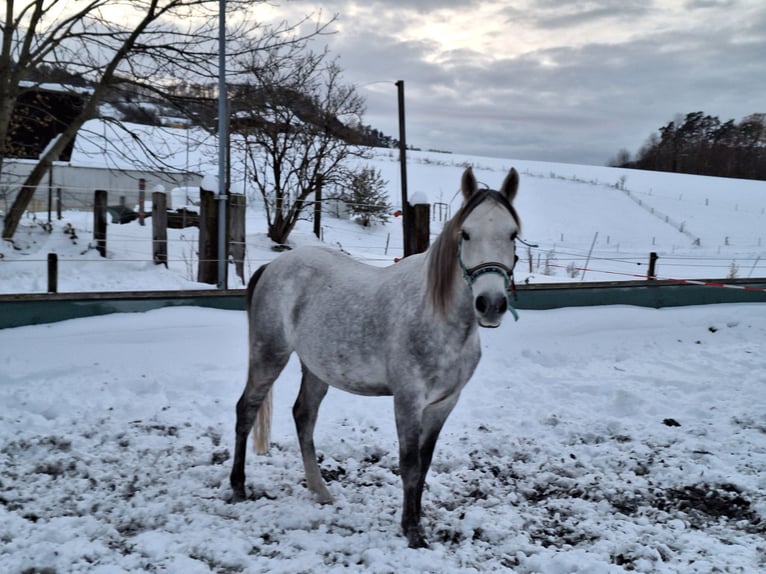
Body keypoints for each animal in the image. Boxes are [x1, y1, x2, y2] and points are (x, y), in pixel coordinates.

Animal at [231, 166, 524, 548]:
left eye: (513, 234)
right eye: (466, 233)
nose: (490, 304)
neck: (437, 316)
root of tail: (272, 266)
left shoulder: (444, 402)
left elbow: (424, 464)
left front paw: (417, 521)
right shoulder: (408, 400)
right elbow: (410, 465)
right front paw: (412, 532)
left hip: (316, 368)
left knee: (304, 417)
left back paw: (320, 491)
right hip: (269, 353)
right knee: (247, 410)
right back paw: (238, 488)